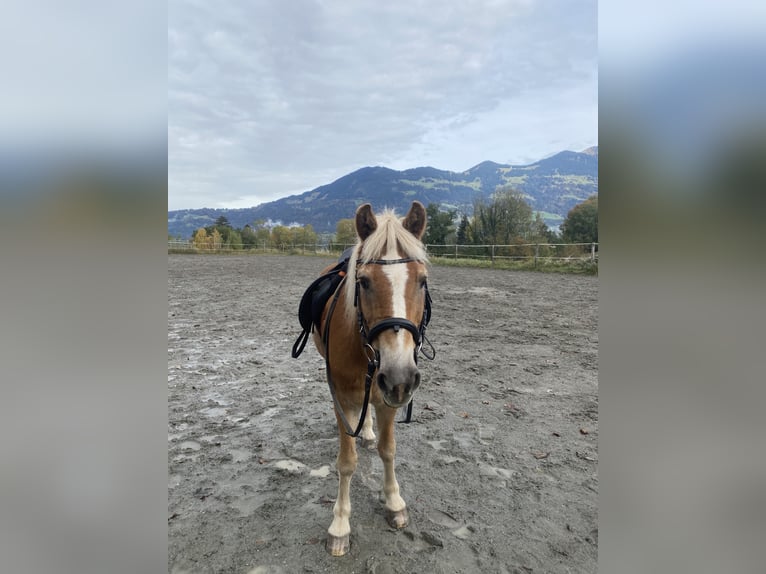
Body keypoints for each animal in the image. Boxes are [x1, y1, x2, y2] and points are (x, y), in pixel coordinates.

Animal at [302, 201, 432, 560]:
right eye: (363, 282)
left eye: (422, 281)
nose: (401, 376)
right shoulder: (342, 399)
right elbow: (347, 463)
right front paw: (339, 525)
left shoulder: (389, 396)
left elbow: (389, 450)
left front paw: (394, 502)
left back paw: (370, 432)